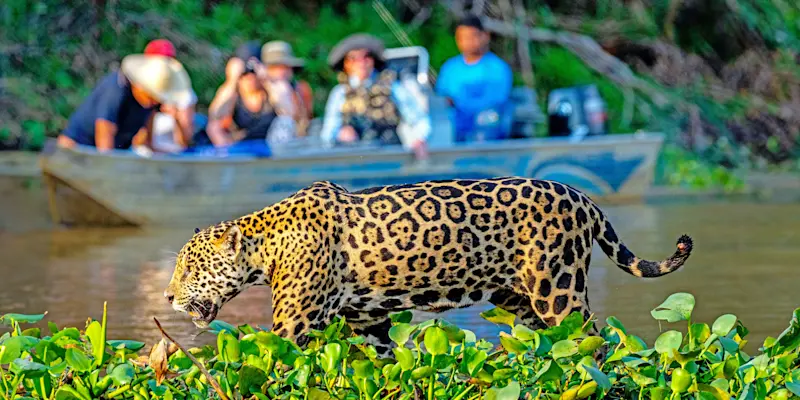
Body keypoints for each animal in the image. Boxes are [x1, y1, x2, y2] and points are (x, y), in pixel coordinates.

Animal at [164, 177, 693, 358]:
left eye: (188, 269)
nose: (168, 297)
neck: (265, 244)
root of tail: (581, 196)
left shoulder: (293, 325)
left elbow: (269, 359)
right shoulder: (369, 320)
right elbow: (380, 360)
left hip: (558, 289)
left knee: (595, 341)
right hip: (520, 300)